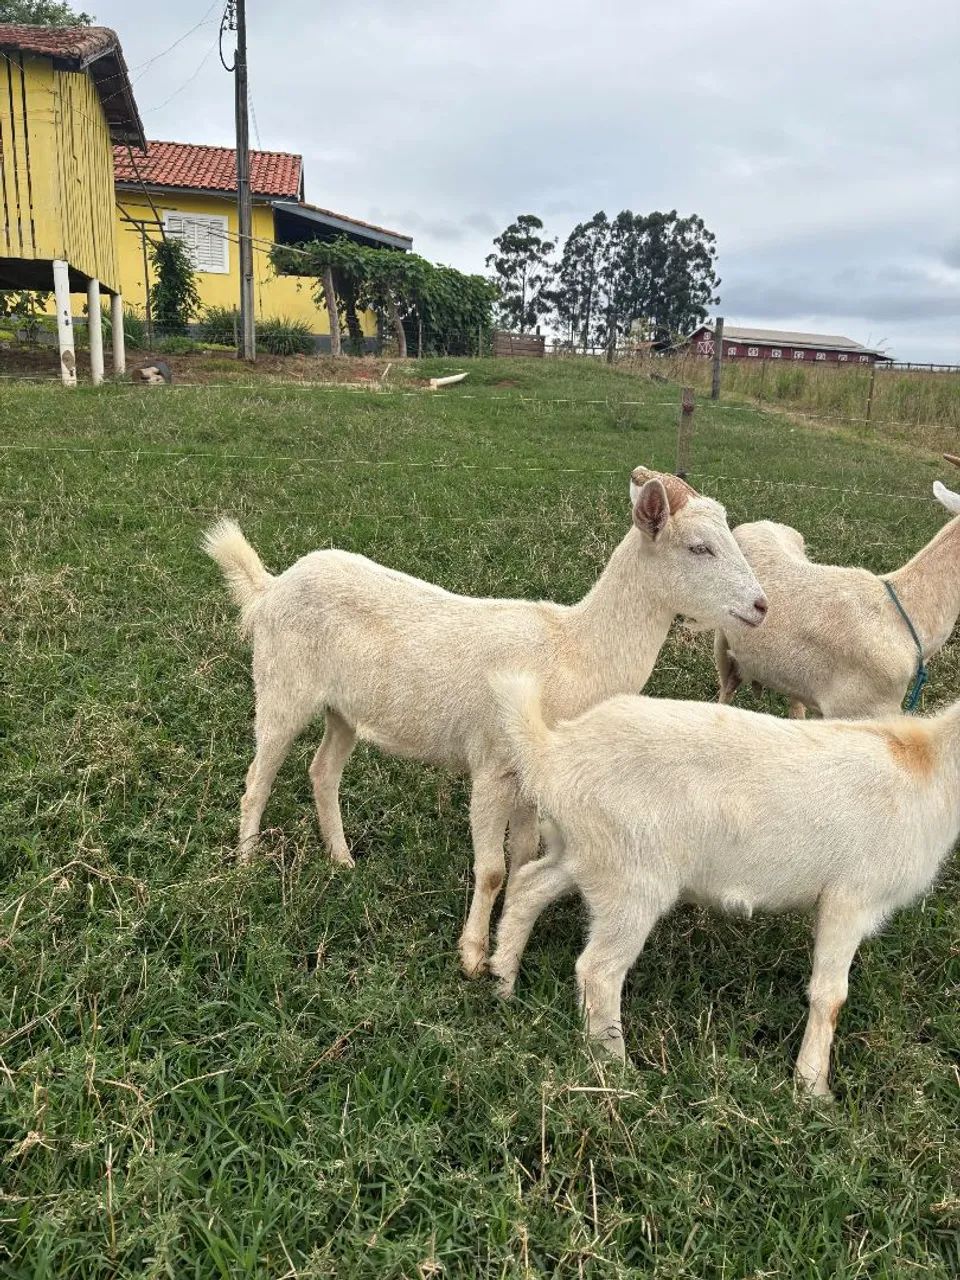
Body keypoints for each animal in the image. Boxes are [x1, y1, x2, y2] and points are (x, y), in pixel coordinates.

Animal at [204, 466, 767, 977]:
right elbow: (493, 869)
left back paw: (342, 859)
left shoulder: (529, 779)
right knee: (258, 778)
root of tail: (272, 585)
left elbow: (522, 859)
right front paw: (473, 955)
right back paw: (246, 863)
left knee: (323, 772)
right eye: (699, 548)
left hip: (343, 710)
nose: (761, 606)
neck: (574, 650)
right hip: (282, 686)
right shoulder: (492, 768)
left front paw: (506, 939)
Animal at [488, 672, 960, 1097]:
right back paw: (619, 1070)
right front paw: (813, 1090)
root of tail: (553, 753)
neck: (928, 770)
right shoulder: (850, 899)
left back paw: (503, 983)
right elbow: (831, 996)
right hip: (634, 877)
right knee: (598, 969)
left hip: (585, 852)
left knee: (530, 886)